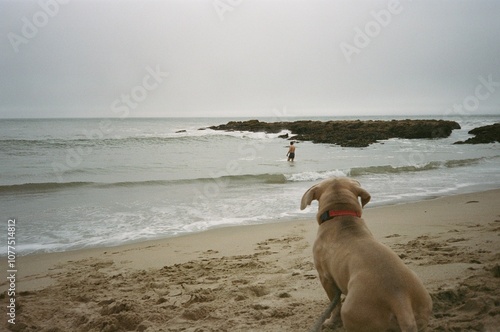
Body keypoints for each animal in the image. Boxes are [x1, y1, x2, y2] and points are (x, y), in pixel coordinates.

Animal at [302, 178, 432, 330]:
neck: (341, 215)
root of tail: (399, 300)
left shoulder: (325, 278)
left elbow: (335, 305)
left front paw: (330, 321)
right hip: (421, 303)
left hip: (353, 311)